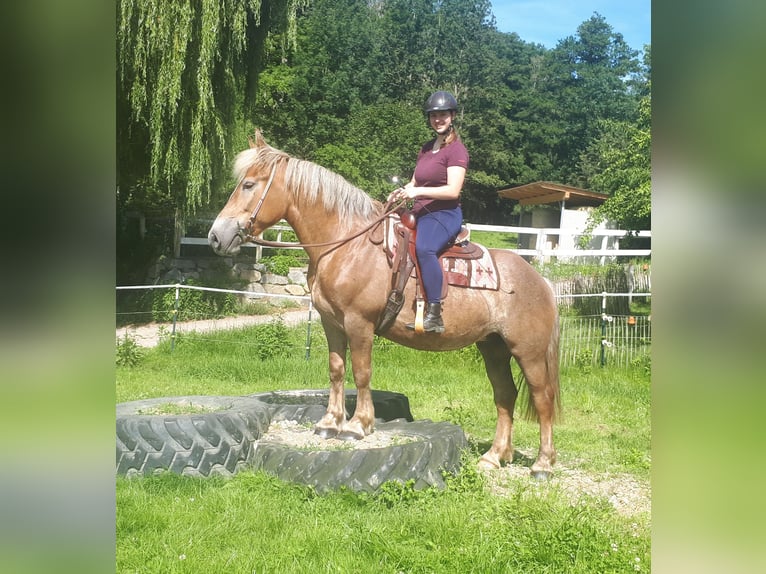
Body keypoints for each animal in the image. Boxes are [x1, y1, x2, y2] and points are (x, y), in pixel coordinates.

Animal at [210, 133, 564, 480]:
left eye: (249, 184)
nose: (215, 236)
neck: (348, 244)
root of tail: (540, 280)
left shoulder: (359, 323)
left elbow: (362, 372)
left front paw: (357, 425)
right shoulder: (331, 323)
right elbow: (337, 369)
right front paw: (329, 423)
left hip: (528, 352)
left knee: (542, 400)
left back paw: (542, 465)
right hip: (493, 348)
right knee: (505, 396)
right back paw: (494, 457)